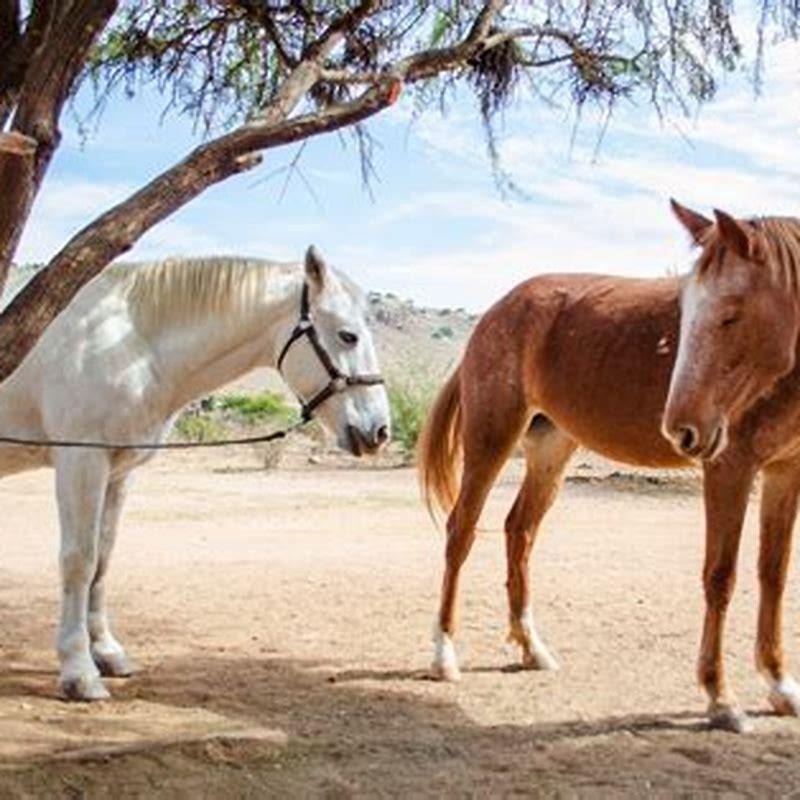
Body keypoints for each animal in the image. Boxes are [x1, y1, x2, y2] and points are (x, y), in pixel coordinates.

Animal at [0, 246, 390, 701]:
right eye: (348, 336)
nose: (380, 431)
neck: (130, 339)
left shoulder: (117, 472)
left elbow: (104, 558)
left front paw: (108, 653)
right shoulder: (81, 463)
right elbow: (79, 561)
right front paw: (79, 671)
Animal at [418, 201, 800, 733]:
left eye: (731, 313)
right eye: (685, 312)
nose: (681, 428)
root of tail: (496, 310)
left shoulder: (786, 471)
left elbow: (774, 575)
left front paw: (781, 685)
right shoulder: (730, 467)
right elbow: (721, 577)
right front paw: (720, 698)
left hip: (552, 449)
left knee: (520, 530)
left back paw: (532, 647)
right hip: (491, 438)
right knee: (461, 531)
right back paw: (444, 655)